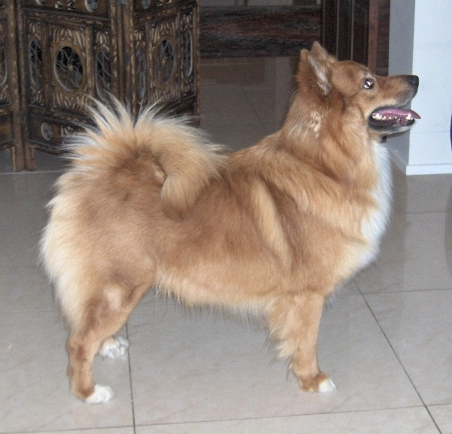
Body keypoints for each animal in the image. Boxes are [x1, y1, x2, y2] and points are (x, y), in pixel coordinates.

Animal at [40, 43, 418, 404]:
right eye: (368, 83)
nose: (415, 79)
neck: (323, 166)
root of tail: (101, 172)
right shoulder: (307, 296)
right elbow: (307, 342)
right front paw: (312, 380)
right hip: (121, 286)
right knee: (78, 342)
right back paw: (89, 392)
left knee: (86, 325)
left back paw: (108, 345)